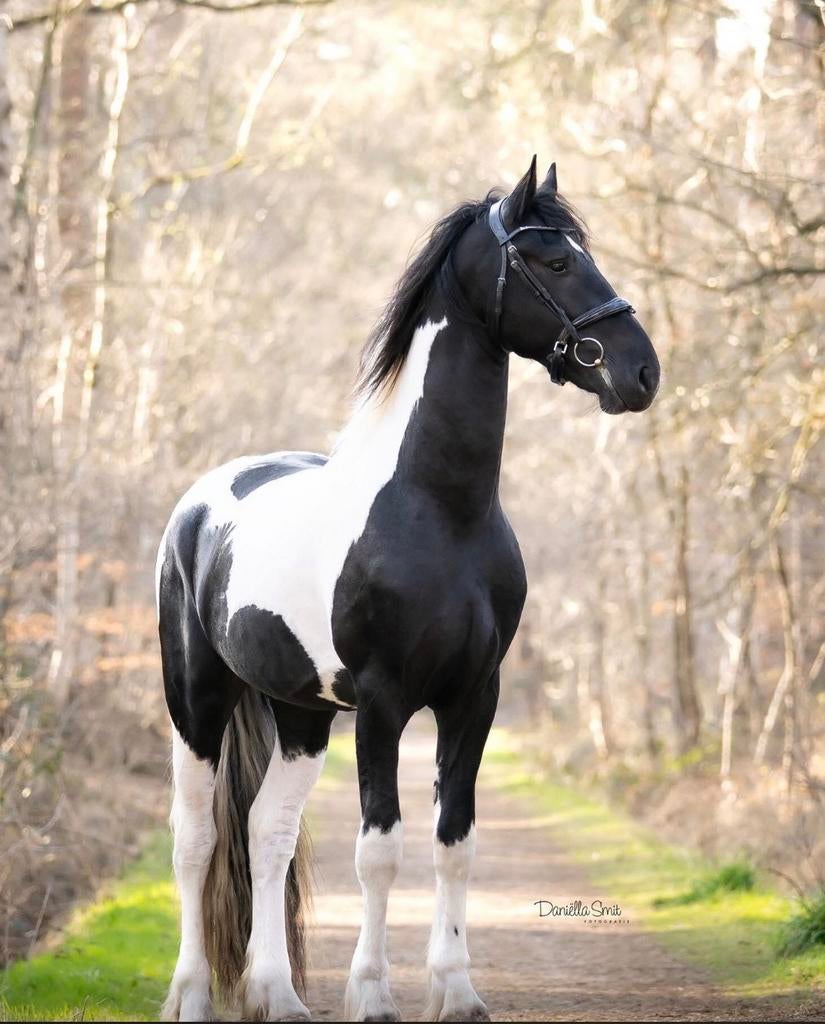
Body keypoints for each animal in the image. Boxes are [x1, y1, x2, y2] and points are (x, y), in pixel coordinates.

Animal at [156, 156, 660, 1023]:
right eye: (554, 260)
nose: (641, 372)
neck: (438, 511)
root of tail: (200, 505)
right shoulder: (384, 702)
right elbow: (379, 851)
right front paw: (373, 995)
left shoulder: (472, 696)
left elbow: (452, 843)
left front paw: (456, 991)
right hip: (196, 700)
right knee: (197, 838)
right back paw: (189, 997)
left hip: (299, 713)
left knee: (266, 832)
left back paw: (279, 996)